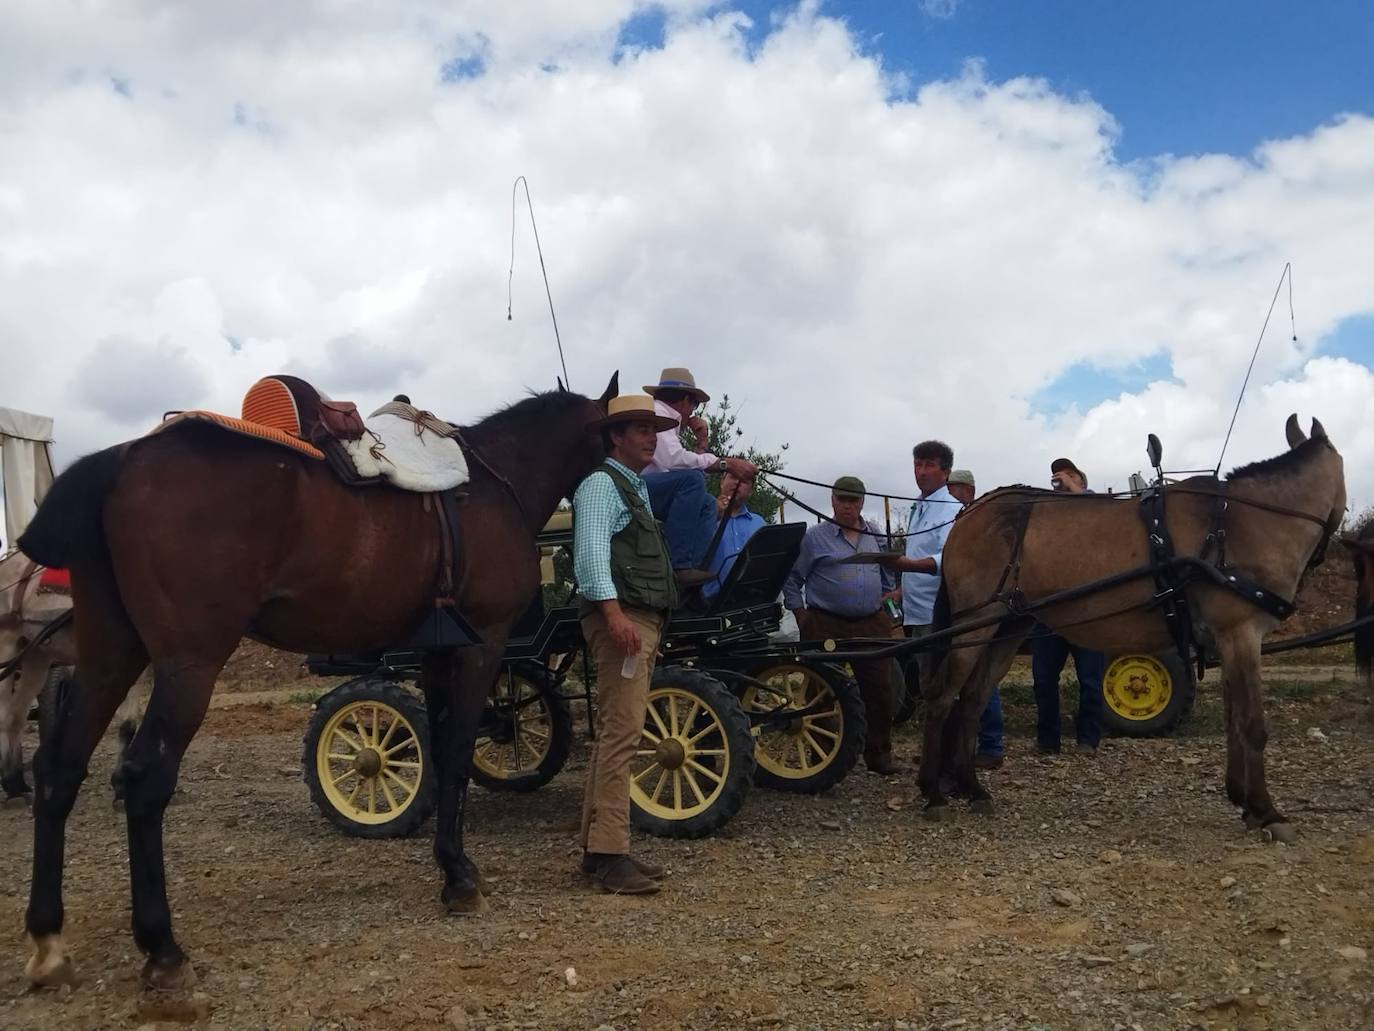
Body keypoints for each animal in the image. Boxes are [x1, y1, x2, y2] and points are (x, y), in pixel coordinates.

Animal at [16, 376, 615, 989]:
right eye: (617, 430)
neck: (498, 483)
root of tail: (124, 457)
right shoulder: (482, 645)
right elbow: (453, 754)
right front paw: (460, 877)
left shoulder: (436, 652)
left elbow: (449, 748)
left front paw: (450, 867)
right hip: (188, 666)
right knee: (142, 778)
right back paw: (162, 949)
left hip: (109, 656)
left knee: (58, 768)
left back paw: (48, 938)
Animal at [923, 415, 1341, 841]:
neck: (1241, 524)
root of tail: (968, 513)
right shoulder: (1241, 633)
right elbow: (1252, 722)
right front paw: (1267, 811)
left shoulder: (1226, 640)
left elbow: (1233, 718)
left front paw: (1243, 799)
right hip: (973, 624)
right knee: (941, 695)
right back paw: (933, 794)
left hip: (1009, 625)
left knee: (973, 697)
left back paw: (973, 789)